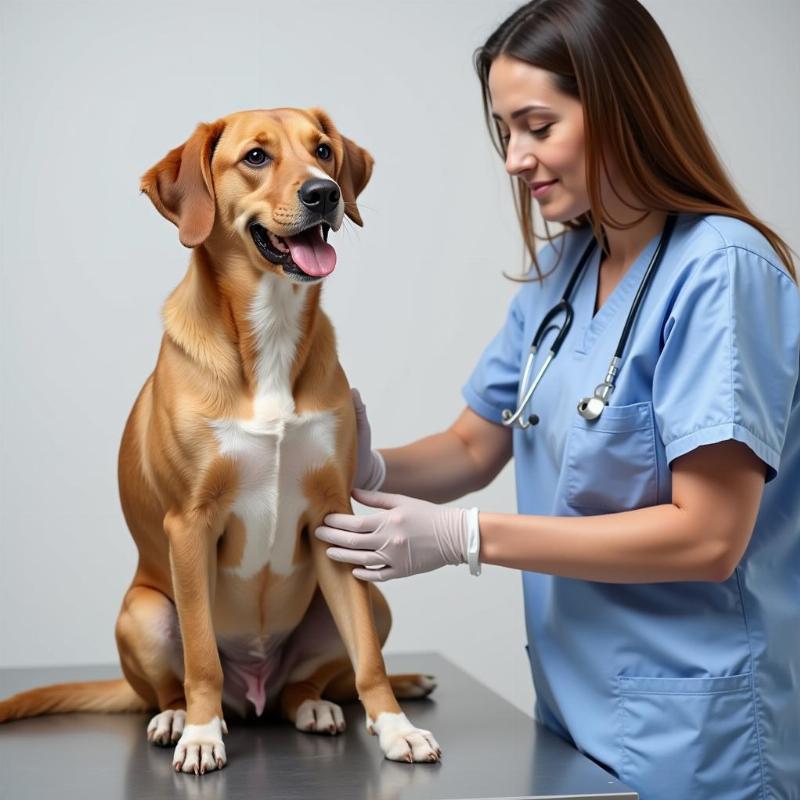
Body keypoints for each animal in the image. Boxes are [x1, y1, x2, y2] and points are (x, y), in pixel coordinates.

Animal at [0, 108, 438, 776]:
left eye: (322, 150)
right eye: (256, 157)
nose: (324, 193)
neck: (271, 335)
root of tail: (254, 692)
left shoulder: (333, 515)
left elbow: (369, 659)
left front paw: (396, 729)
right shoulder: (190, 524)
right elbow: (202, 656)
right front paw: (202, 735)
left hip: (367, 599)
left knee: (307, 684)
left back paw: (315, 706)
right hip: (144, 612)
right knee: (171, 683)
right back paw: (179, 717)